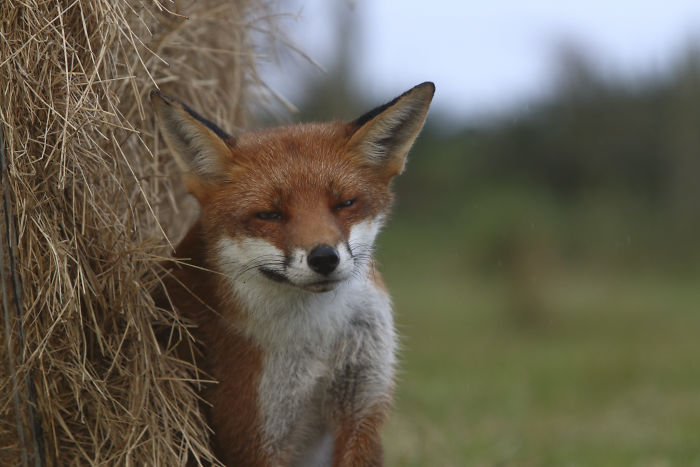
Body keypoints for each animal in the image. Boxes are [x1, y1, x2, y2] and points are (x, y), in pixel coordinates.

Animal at [150, 81, 434, 466]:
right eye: (270, 215)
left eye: (344, 203)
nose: (324, 258)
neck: (318, 338)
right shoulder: (253, 433)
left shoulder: (362, 408)